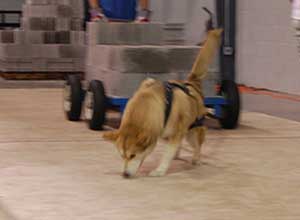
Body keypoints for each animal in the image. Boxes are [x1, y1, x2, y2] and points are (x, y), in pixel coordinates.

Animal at [103, 29, 223, 178]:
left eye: (133, 155)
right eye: (122, 156)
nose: (125, 174)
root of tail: (192, 84)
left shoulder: (176, 133)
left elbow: (167, 154)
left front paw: (159, 170)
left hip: (192, 132)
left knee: (197, 146)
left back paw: (196, 158)